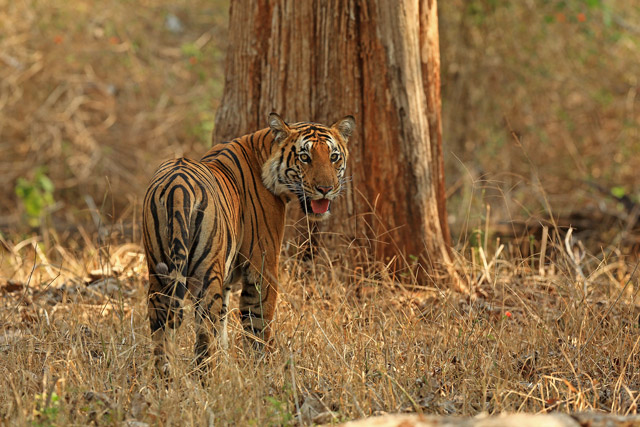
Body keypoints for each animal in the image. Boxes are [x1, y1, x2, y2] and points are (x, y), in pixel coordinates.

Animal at [142, 113, 355, 370]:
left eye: (334, 157)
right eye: (305, 157)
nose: (326, 189)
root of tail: (177, 188)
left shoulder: (226, 275)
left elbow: (223, 326)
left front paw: (228, 363)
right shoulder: (263, 265)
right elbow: (258, 325)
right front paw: (263, 368)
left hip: (158, 275)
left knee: (161, 338)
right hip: (205, 276)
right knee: (203, 335)